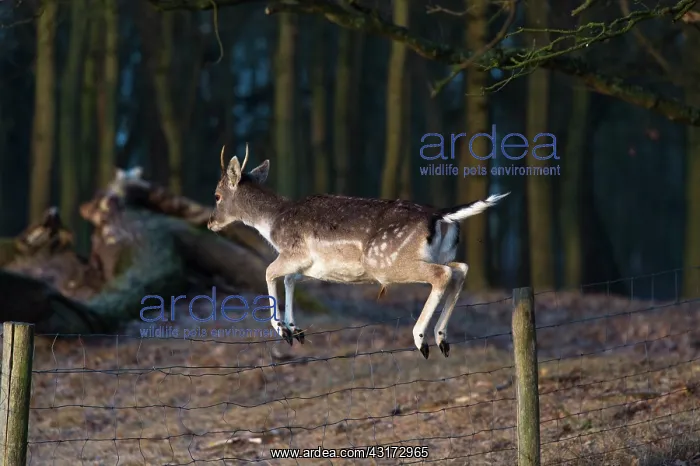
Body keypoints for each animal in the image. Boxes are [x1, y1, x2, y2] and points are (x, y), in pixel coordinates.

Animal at [207, 144, 510, 359]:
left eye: (217, 196)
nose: (210, 223)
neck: (272, 224)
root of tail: (440, 215)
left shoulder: (296, 252)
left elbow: (269, 272)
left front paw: (282, 330)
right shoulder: (308, 266)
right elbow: (291, 279)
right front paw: (295, 330)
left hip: (386, 261)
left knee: (442, 274)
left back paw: (420, 338)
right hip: (439, 254)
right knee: (460, 269)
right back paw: (442, 337)